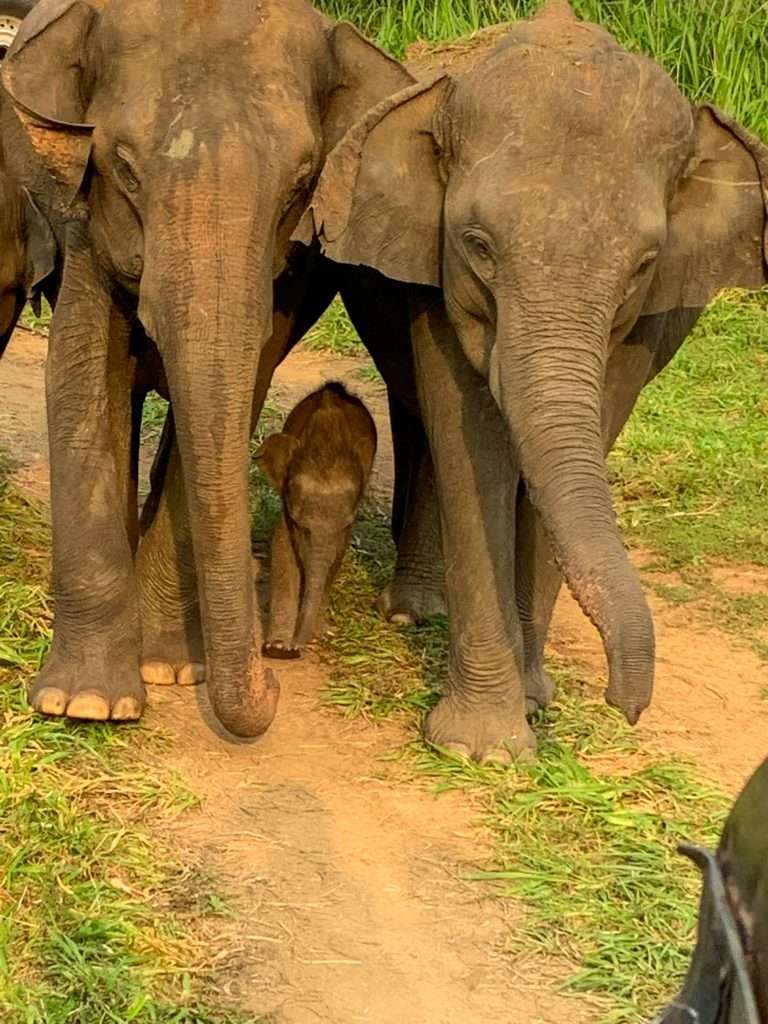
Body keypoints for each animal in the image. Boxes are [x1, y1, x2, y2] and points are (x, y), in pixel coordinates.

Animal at [256, 381, 377, 658]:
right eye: (300, 526)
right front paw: (277, 647)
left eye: (345, 524)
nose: (294, 648)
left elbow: (337, 555)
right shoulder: (287, 505)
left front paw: (319, 634)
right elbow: (282, 549)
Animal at [300, 0, 768, 761]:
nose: (625, 704)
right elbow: (473, 445)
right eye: (478, 246)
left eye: (643, 265)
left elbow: (590, 436)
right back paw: (411, 614)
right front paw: (482, 749)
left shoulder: (654, 315)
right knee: (419, 413)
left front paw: (532, 702)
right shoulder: (434, 273)